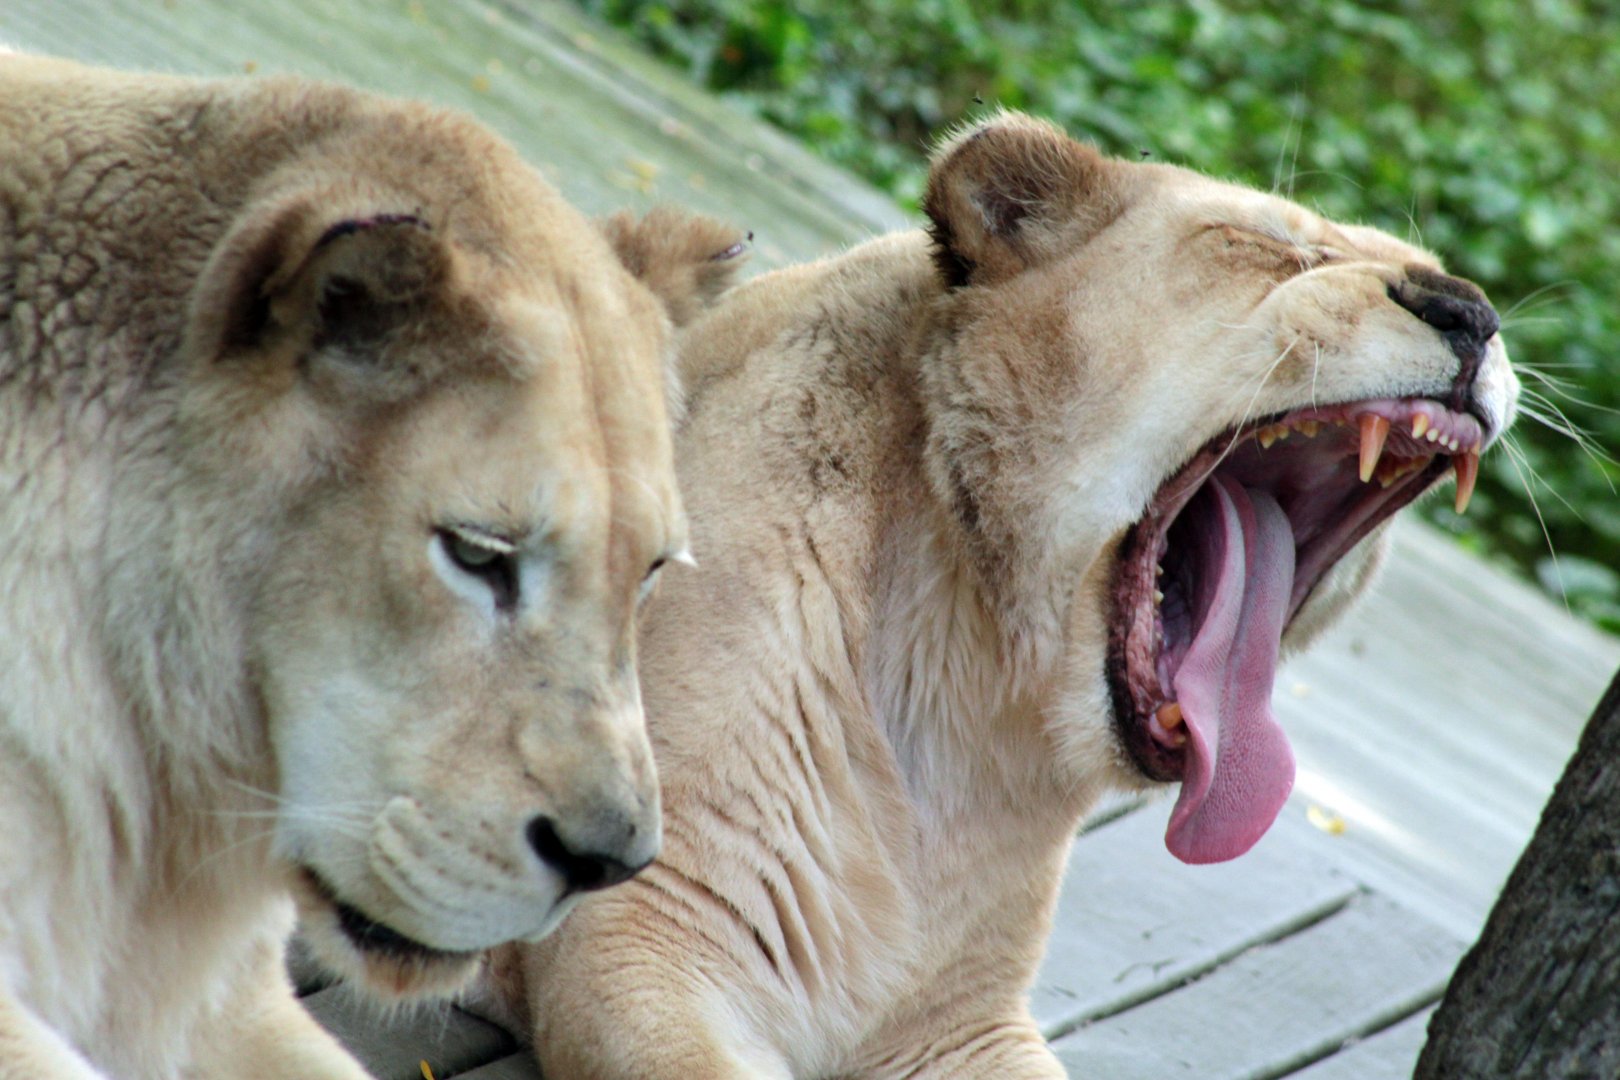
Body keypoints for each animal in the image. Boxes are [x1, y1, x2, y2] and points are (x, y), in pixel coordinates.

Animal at [490, 113, 1520, 1078]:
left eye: (1445, 278)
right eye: (1264, 245)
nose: (1470, 312)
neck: (967, 693)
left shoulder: (959, 1021)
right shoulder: (646, 922)